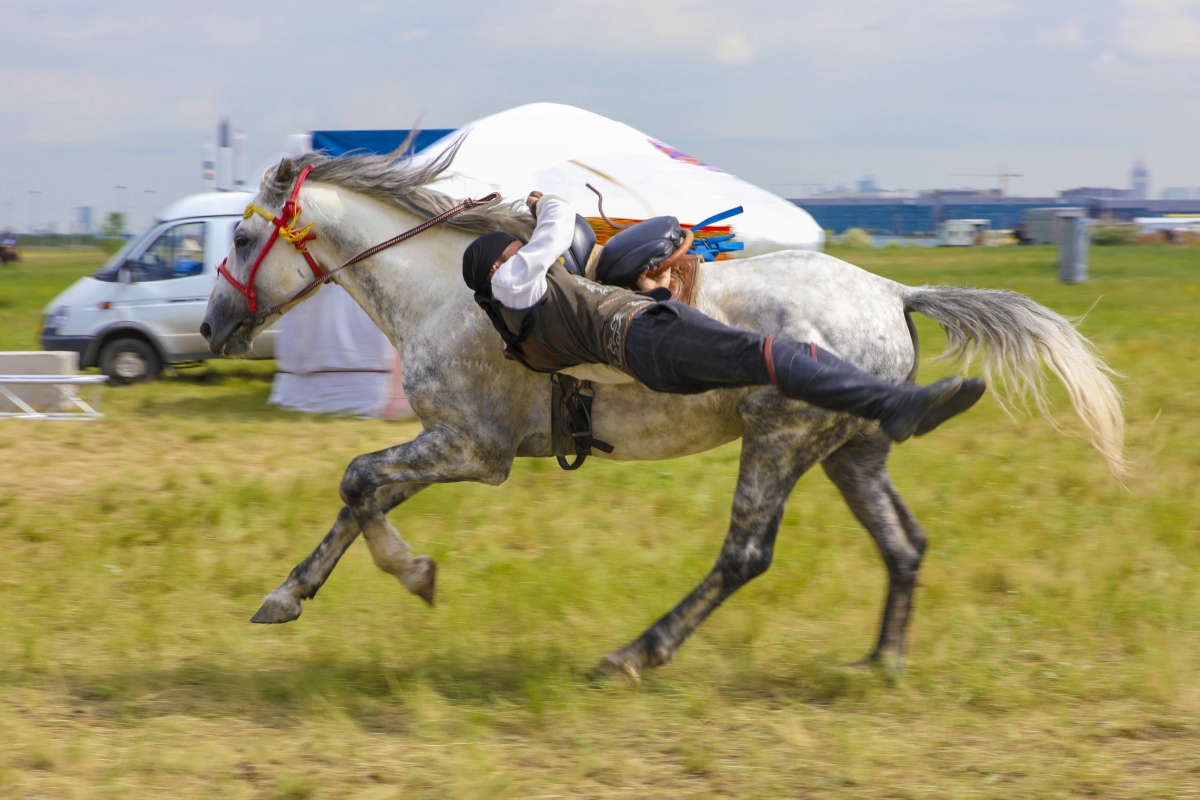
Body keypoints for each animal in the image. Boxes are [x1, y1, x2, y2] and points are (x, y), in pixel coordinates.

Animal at [199, 146, 1123, 681]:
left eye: (241, 241)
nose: (210, 326)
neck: (447, 291)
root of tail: (897, 293)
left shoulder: (472, 448)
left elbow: (359, 482)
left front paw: (409, 573)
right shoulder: (450, 444)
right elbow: (362, 497)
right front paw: (291, 593)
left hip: (780, 439)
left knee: (745, 555)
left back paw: (637, 653)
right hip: (849, 452)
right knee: (904, 542)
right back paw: (883, 657)